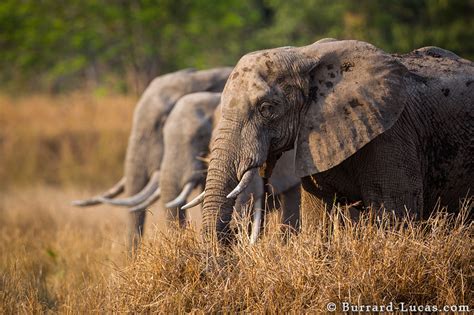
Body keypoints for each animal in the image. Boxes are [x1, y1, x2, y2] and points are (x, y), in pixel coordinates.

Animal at [195, 39, 470, 246]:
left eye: (266, 108)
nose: (234, 236)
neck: (304, 55)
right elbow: (318, 221)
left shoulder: (392, 134)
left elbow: (394, 217)